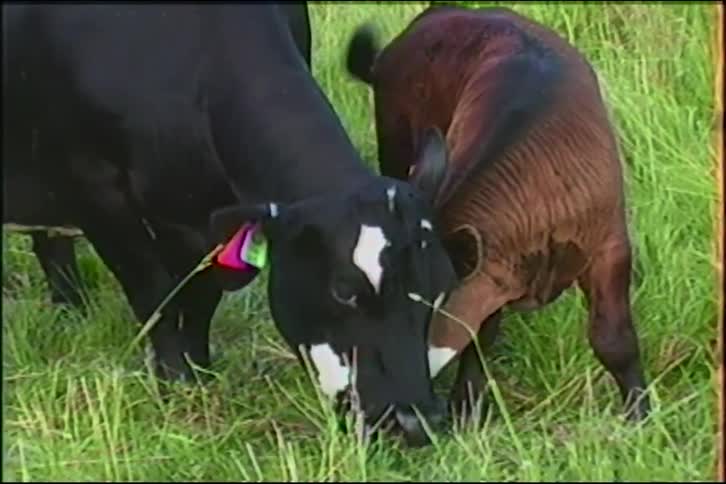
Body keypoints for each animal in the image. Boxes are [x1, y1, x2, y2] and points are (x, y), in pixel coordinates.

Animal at [2, 3, 459, 447]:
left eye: (440, 289)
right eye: (343, 291)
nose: (415, 423)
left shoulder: (202, 217)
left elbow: (200, 299)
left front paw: (199, 374)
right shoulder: (97, 191)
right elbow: (155, 298)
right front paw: (175, 385)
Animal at [345, 4, 652, 424]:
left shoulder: (610, 244)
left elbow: (614, 339)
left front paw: (641, 413)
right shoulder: (491, 272)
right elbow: (478, 336)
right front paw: (465, 411)